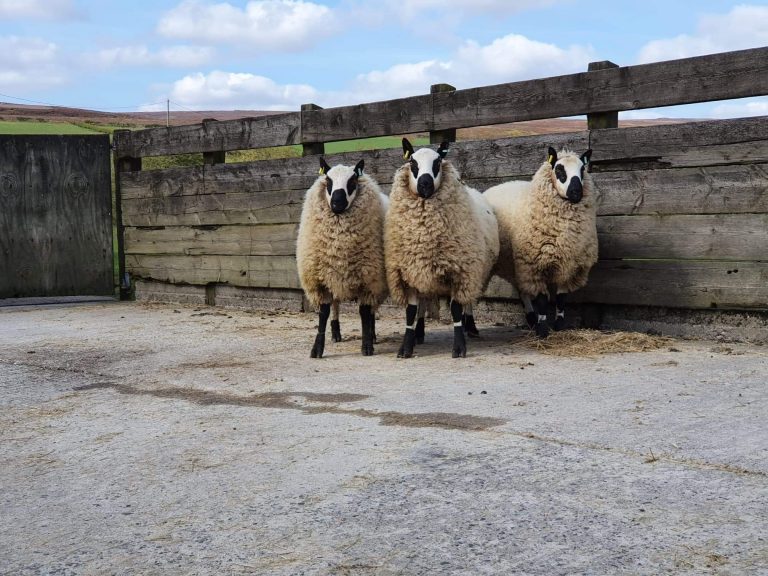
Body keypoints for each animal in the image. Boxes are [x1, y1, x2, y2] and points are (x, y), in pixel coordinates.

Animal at [296, 157, 389, 358]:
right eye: (328, 181)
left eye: (352, 181)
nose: (337, 203)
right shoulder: (320, 280)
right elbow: (323, 313)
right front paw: (317, 348)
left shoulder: (368, 280)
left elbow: (364, 313)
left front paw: (367, 345)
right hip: (334, 277)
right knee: (336, 305)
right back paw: (336, 333)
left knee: (371, 311)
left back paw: (373, 335)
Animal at [384, 138, 500, 358]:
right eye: (412, 163)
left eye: (437, 162)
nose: (425, 184)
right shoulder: (409, 273)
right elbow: (410, 312)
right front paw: (406, 346)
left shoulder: (459, 271)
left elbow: (456, 309)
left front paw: (459, 347)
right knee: (424, 303)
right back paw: (420, 332)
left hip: (474, 271)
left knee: (468, 301)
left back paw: (470, 327)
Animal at [483, 146, 597, 338]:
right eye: (559, 169)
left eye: (582, 169)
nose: (576, 193)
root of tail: (488, 190)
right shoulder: (535, 264)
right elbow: (543, 300)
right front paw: (543, 329)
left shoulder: (569, 265)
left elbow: (561, 298)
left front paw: (558, 325)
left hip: (516, 265)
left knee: (522, 291)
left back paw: (530, 318)